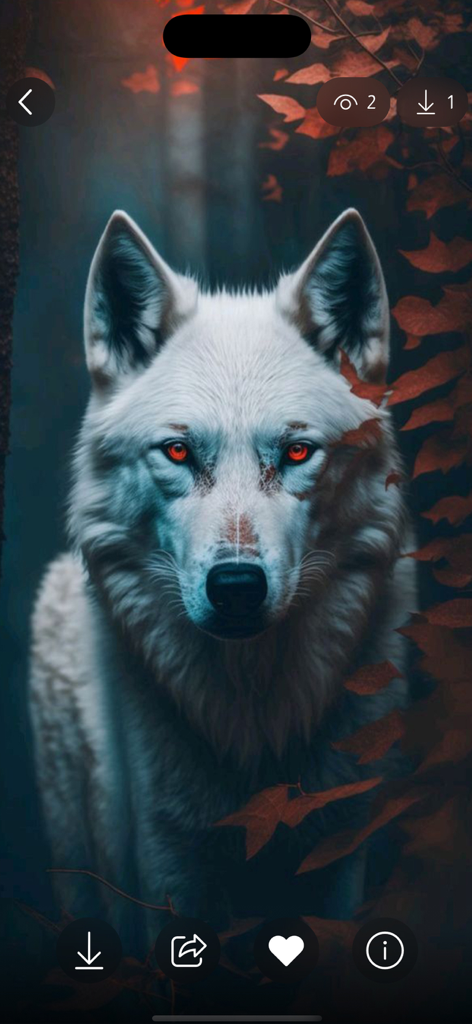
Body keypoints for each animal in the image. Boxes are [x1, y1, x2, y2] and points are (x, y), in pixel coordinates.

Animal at [29, 209, 416, 946]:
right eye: (179, 451)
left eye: (297, 452)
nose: (236, 587)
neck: (255, 728)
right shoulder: (169, 867)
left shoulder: (341, 856)